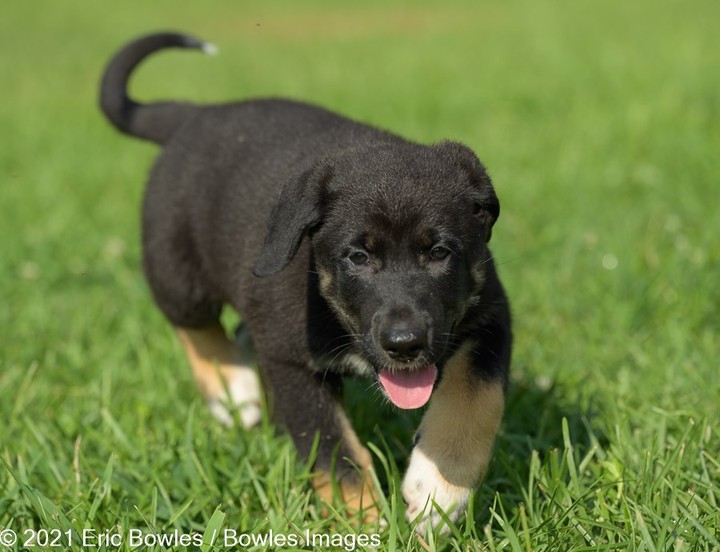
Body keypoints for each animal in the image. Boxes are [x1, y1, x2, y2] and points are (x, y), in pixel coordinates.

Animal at [100, 31, 512, 532]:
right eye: (358, 257)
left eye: (439, 253)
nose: (405, 344)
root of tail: (197, 115)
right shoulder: (291, 358)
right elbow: (332, 450)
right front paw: (362, 522)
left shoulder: (490, 317)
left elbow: (476, 400)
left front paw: (438, 492)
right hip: (176, 267)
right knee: (193, 323)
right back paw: (232, 389)